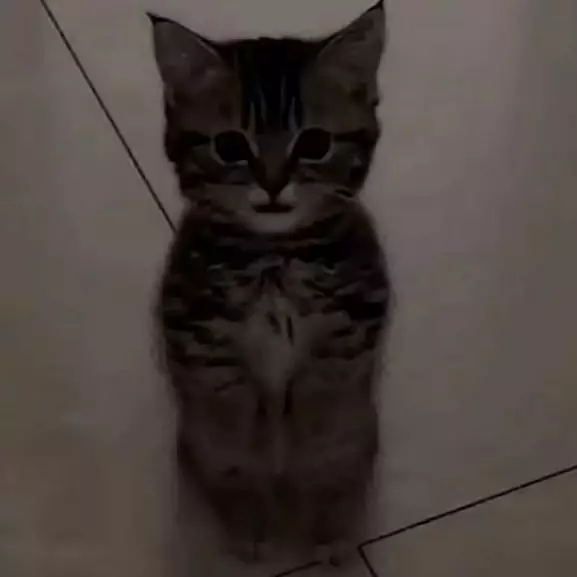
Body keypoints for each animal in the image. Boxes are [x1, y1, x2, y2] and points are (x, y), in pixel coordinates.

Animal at [149, 0, 390, 564]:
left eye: (315, 144)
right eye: (231, 146)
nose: (274, 184)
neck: (275, 260)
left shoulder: (343, 354)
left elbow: (324, 449)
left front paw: (325, 529)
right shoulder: (209, 363)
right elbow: (235, 456)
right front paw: (249, 526)